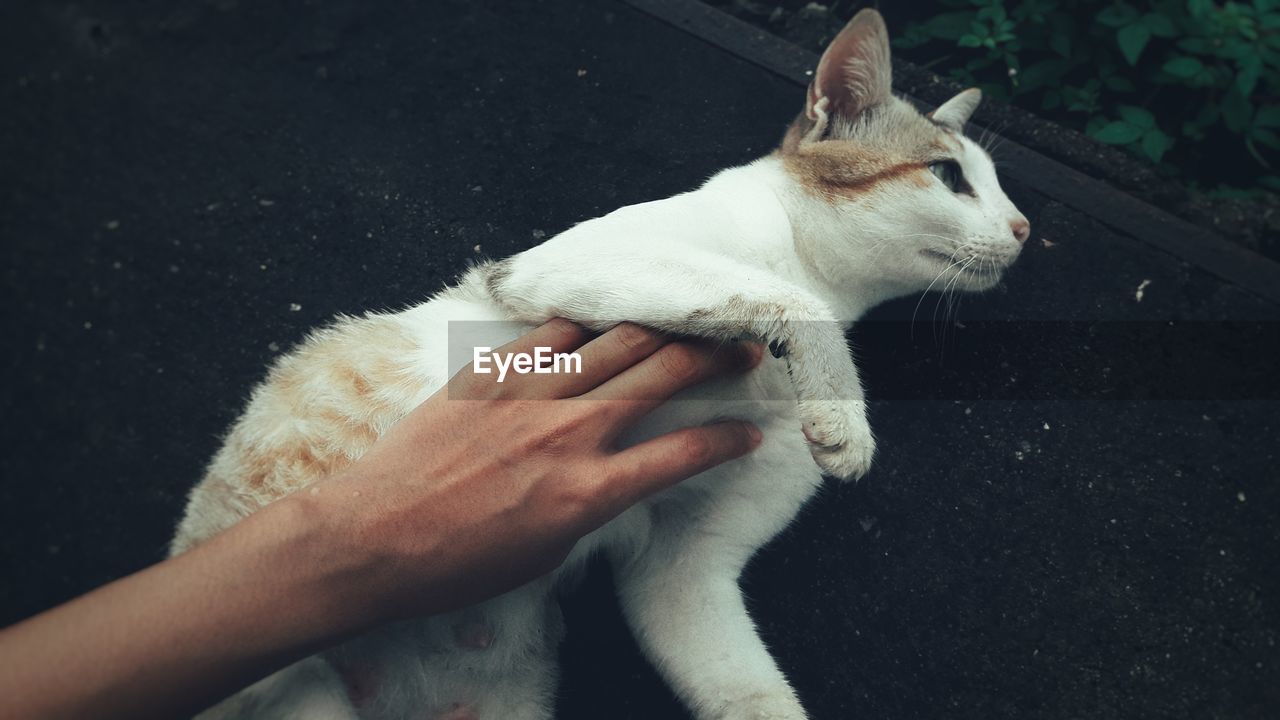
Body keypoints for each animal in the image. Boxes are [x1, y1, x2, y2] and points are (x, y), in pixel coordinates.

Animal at [170, 9, 1029, 717]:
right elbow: (779, 296)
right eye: (949, 176)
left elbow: (752, 695)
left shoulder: (684, 573)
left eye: (993, 185)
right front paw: (844, 409)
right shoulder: (565, 264)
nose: (1023, 227)